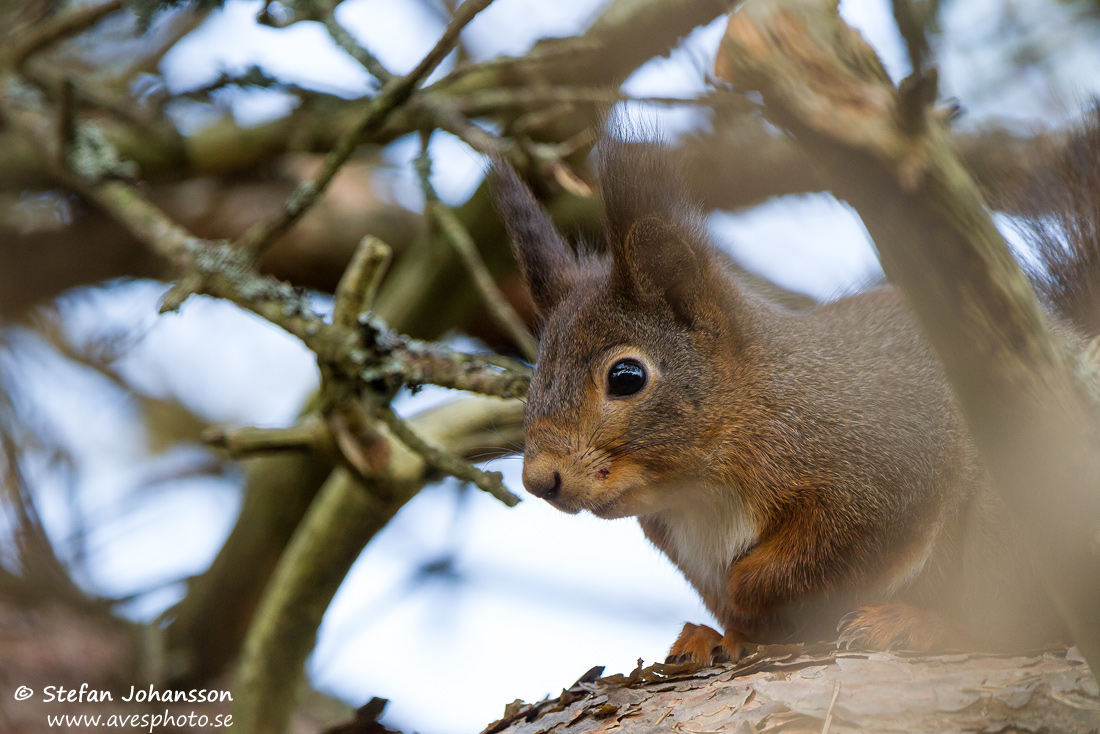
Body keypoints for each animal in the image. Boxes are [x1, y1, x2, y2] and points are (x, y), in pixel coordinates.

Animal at [492, 113, 1100, 664]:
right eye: (536, 375)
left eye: (626, 377)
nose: (540, 480)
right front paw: (720, 635)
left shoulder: (882, 465)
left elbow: (827, 551)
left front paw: (749, 585)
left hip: (1023, 502)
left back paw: (922, 626)